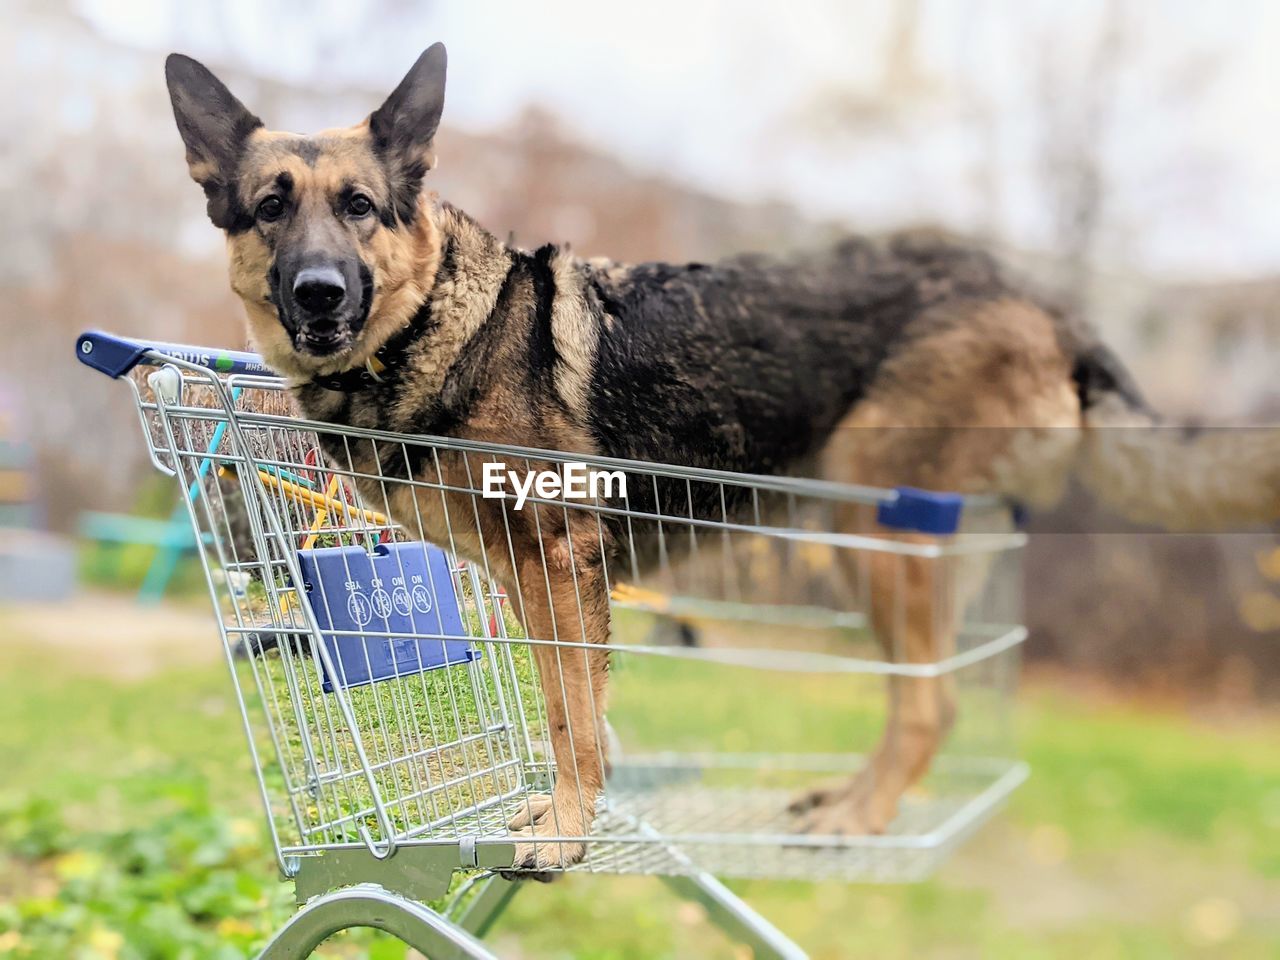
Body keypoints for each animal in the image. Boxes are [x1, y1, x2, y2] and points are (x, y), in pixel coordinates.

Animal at [165, 43, 1274, 870]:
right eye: (271, 207)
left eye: (358, 206)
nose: (317, 294)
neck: (439, 322)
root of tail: (1049, 306)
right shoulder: (534, 585)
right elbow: (567, 709)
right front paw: (567, 813)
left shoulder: (558, 566)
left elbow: (574, 722)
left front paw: (565, 836)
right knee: (923, 698)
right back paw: (849, 801)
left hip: (873, 530)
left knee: (931, 702)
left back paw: (859, 820)